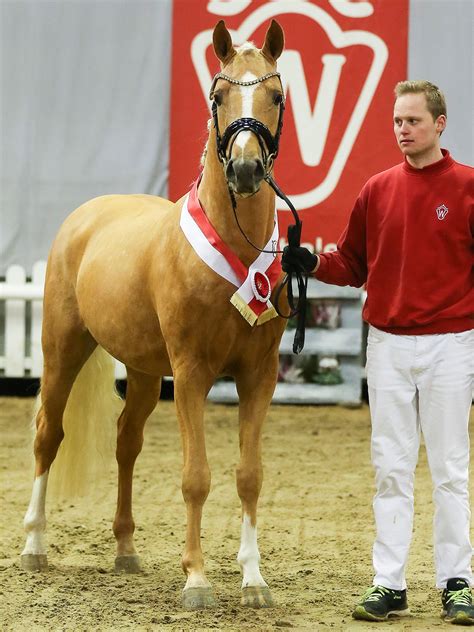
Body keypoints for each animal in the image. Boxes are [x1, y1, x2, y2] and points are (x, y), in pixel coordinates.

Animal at [21, 22, 288, 608]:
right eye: (218, 95)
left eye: (276, 96)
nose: (245, 169)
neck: (235, 250)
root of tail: (86, 215)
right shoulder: (190, 375)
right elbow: (195, 476)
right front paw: (197, 580)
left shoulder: (259, 376)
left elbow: (250, 474)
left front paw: (254, 580)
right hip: (62, 349)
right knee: (48, 434)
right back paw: (33, 546)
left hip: (143, 371)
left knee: (127, 442)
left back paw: (125, 551)